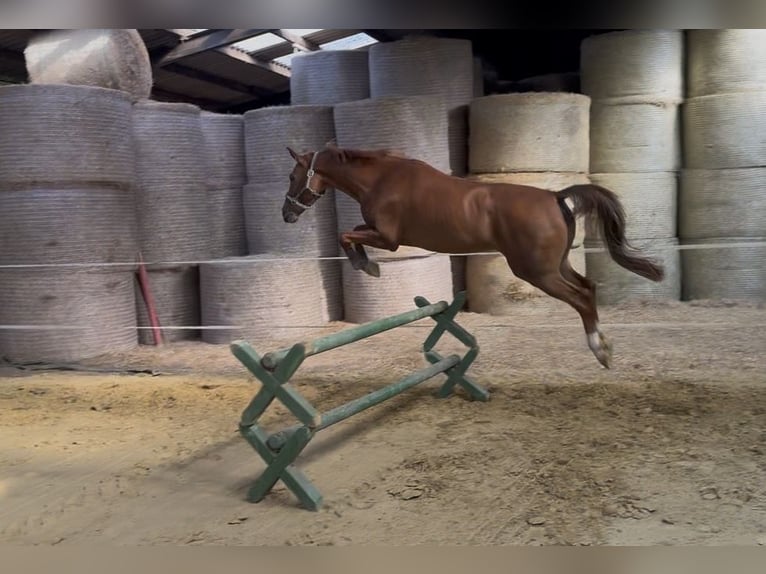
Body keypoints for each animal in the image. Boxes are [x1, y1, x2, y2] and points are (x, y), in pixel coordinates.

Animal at [281, 144, 664, 369]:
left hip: (537, 272)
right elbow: (350, 232)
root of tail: (555, 197)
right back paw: (605, 346)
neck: (382, 178)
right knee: (589, 287)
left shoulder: (389, 239)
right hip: (556, 265)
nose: (286, 215)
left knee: (582, 297)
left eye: (291, 175)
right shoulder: (380, 233)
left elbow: (344, 235)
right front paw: (367, 265)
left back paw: (600, 351)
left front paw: (367, 266)